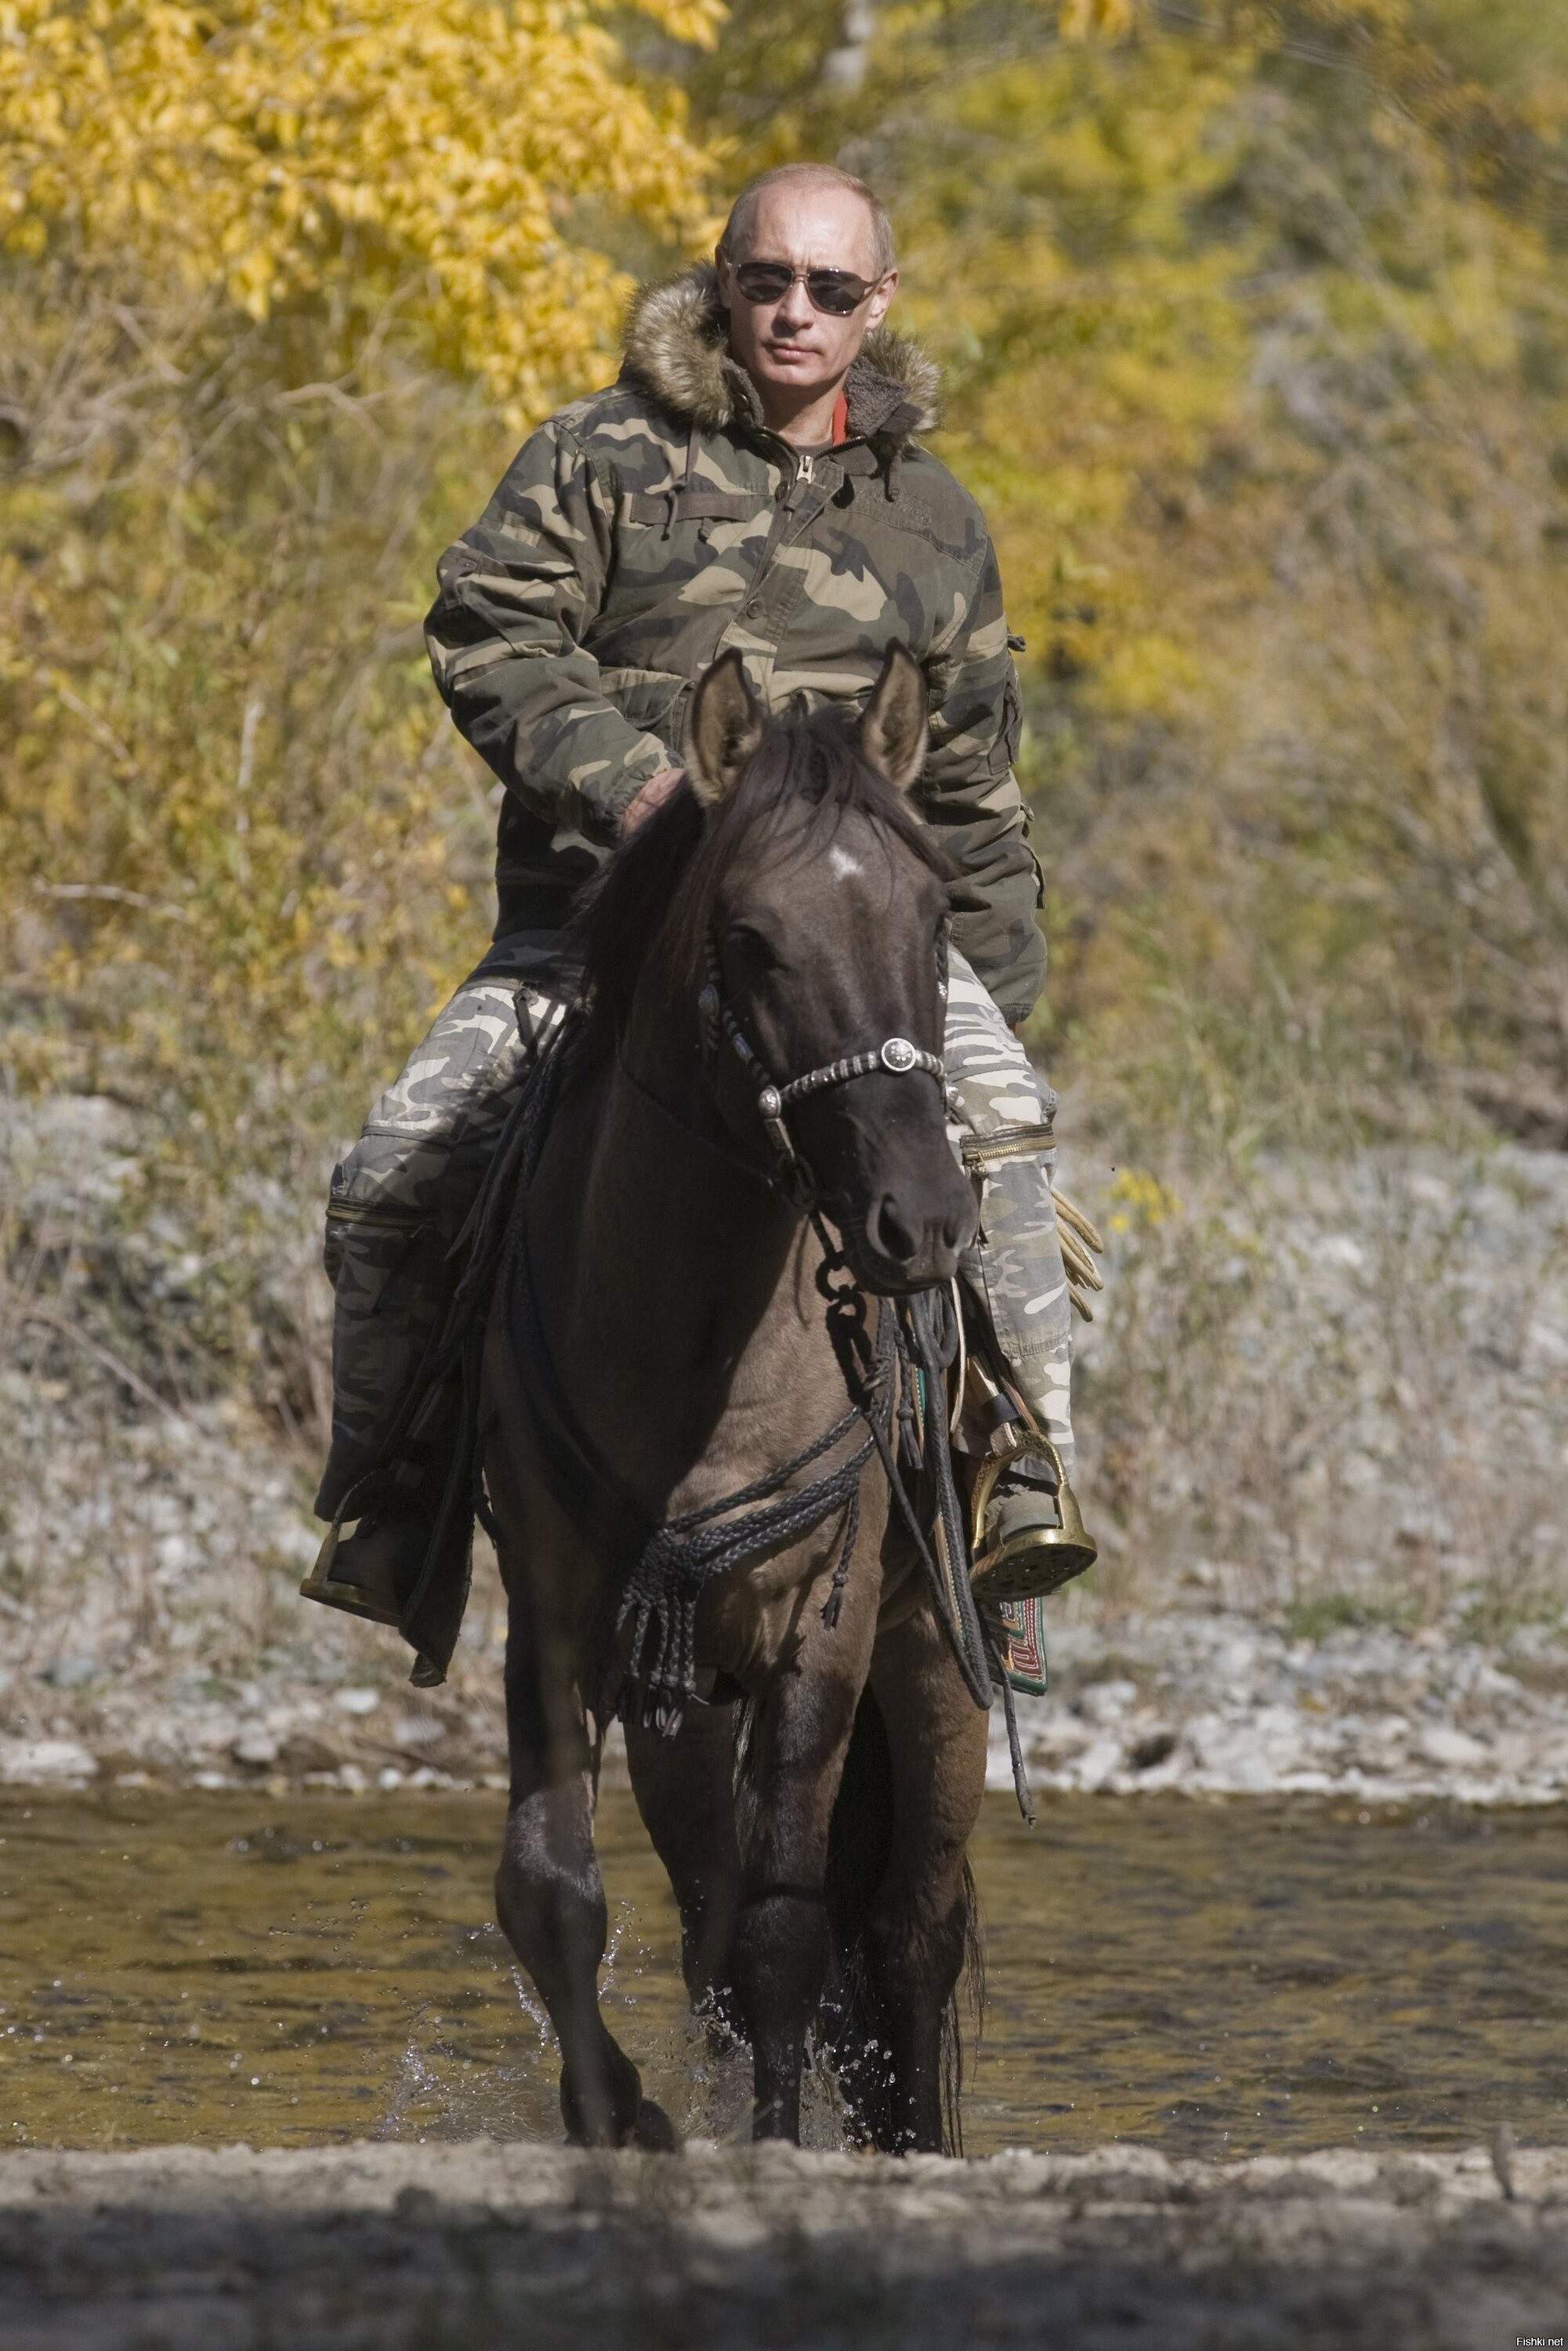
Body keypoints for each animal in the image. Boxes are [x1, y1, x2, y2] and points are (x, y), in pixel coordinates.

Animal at [484, 639, 987, 2154]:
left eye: (934, 920)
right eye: (755, 939)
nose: (919, 1223)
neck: (694, 1338)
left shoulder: (825, 1624)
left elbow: (787, 1930)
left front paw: (769, 2146)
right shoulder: (558, 1610)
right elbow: (554, 1892)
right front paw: (622, 2120)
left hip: (932, 1659)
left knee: (908, 1935)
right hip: (686, 1704)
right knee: (714, 1919)